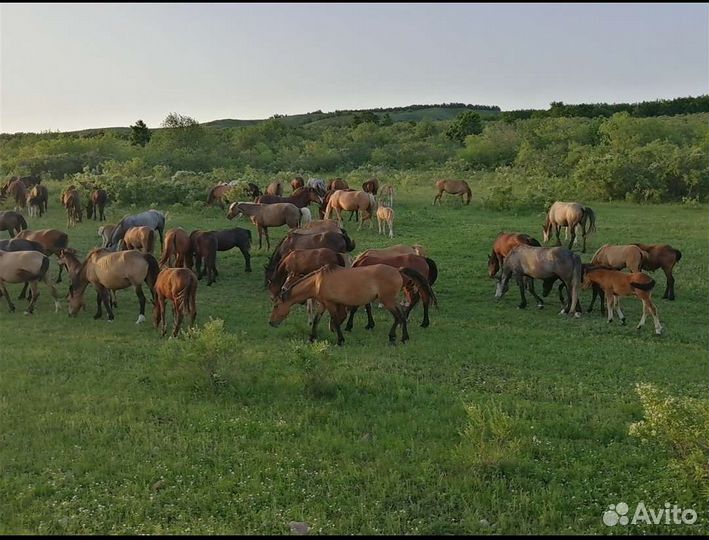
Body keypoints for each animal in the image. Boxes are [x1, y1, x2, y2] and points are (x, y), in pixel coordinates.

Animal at [269, 264, 436, 346]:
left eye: (276, 306)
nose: (271, 323)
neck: (317, 281)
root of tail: (397, 270)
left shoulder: (330, 304)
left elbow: (336, 322)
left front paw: (340, 340)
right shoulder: (323, 304)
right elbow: (316, 320)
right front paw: (311, 338)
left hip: (387, 300)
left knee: (400, 316)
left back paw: (402, 338)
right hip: (390, 300)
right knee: (400, 315)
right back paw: (395, 337)